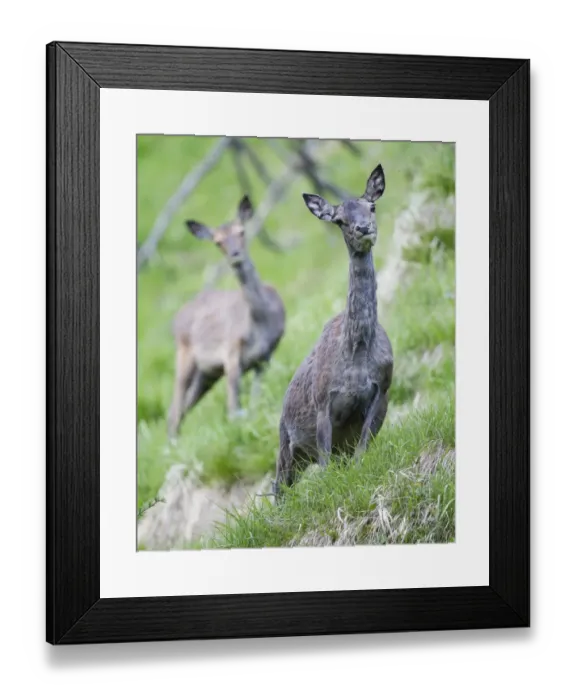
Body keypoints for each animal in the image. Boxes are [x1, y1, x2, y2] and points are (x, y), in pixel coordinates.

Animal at [167, 195, 285, 439]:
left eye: (242, 231)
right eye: (217, 241)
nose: (235, 255)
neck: (261, 322)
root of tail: (175, 320)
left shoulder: (265, 357)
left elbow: (255, 401)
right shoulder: (231, 354)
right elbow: (233, 408)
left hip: (207, 374)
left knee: (183, 406)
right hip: (185, 355)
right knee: (175, 408)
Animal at [272, 164, 394, 500]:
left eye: (372, 206)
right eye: (339, 219)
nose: (363, 229)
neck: (357, 351)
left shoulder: (383, 389)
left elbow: (361, 453)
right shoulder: (322, 401)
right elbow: (325, 465)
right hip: (285, 441)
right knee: (278, 487)